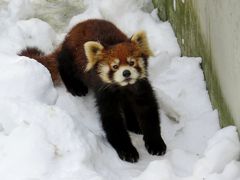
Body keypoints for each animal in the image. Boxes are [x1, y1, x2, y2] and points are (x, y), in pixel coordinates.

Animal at [18, 19, 166, 162]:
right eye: (115, 66)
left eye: (132, 62)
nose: (126, 73)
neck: (123, 87)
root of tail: (73, 30)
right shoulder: (105, 93)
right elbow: (112, 121)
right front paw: (127, 151)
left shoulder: (141, 88)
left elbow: (149, 113)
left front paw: (156, 144)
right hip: (71, 56)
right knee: (63, 65)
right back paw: (76, 87)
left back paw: (134, 125)